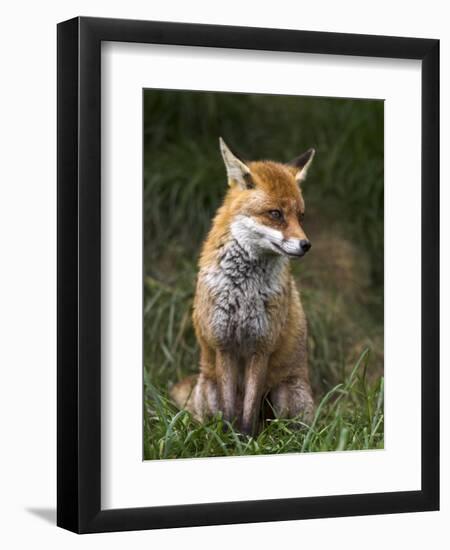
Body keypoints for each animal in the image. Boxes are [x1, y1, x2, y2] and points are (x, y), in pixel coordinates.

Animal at [171, 138, 314, 436]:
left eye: (301, 216)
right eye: (275, 214)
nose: (306, 245)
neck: (244, 290)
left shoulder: (261, 346)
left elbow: (248, 412)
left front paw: (247, 440)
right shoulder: (224, 344)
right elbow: (229, 410)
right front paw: (229, 439)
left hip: (285, 394)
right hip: (209, 388)